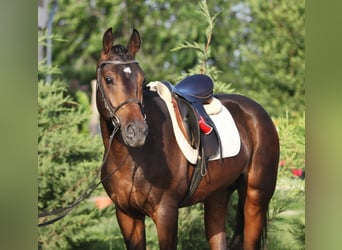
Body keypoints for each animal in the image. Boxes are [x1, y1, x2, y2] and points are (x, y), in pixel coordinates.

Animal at [95, 27, 278, 250]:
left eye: (141, 80)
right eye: (108, 79)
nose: (137, 131)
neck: (135, 160)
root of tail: (259, 113)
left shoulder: (166, 213)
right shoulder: (127, 215)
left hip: (255, 199)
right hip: (217, 196)